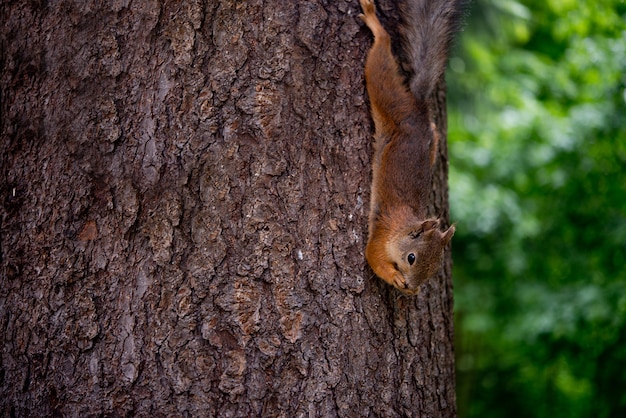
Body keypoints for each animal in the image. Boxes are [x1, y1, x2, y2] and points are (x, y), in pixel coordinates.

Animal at [356, 0, 458, 294]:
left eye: (435, 269)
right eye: (412, 258)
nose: (412, 288)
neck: (401, 230)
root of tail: (418, 108)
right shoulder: (381, 236)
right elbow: (372, 257)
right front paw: (393, 276)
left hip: (431, 139)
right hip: (388, 97)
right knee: (381, 59)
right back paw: (376, 25)